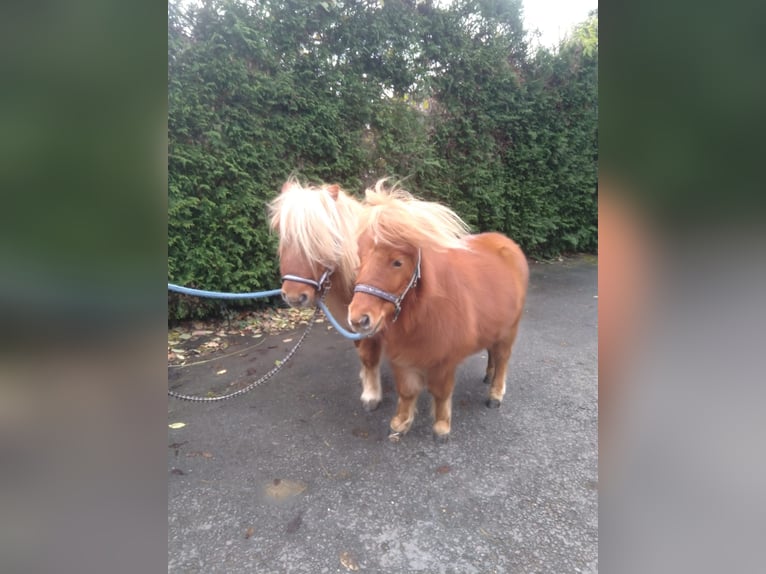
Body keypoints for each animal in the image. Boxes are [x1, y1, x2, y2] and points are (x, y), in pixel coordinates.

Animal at [268, 180, 388, 414]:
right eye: (280, 230)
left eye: (323, 235)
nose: (294, 296)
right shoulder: (350, 322)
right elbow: (362, 353)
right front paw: (366, 381)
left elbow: (369, 355)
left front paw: (371, 395)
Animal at [348, 184, 528, 440]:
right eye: (360, 256)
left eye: (397, 262)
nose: (358, 319)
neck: (422, 313)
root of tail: (507, 243)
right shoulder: (401, 358)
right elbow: (406, 391)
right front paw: (400, 423)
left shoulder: (444, 362)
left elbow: (440, 392)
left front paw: (441, 427)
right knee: (492, 352)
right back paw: (488, 375)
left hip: (509, 330)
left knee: (503, 357)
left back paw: (495, 394)